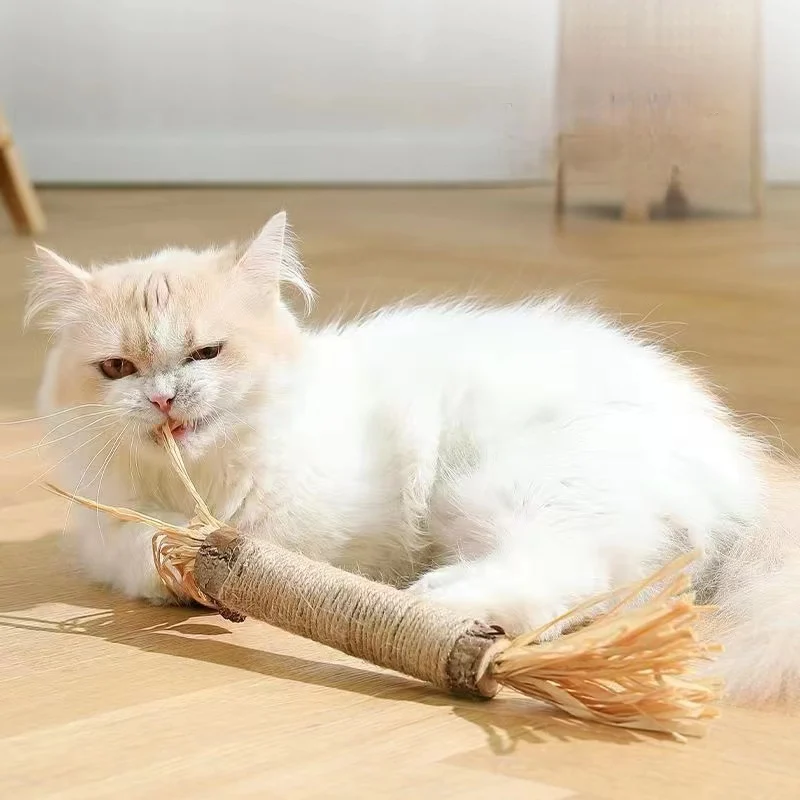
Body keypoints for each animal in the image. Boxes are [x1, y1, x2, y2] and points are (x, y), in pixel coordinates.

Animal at [25, 211, 800, 708]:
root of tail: (738, 460)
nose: (162, 399)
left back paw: (434, 601)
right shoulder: (111, 528)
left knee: (565, 582)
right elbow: (141, 550)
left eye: (205, 354)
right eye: (118, 368)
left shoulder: (306, 529)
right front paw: (178, 569)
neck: (195, 480)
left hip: (514, 487)